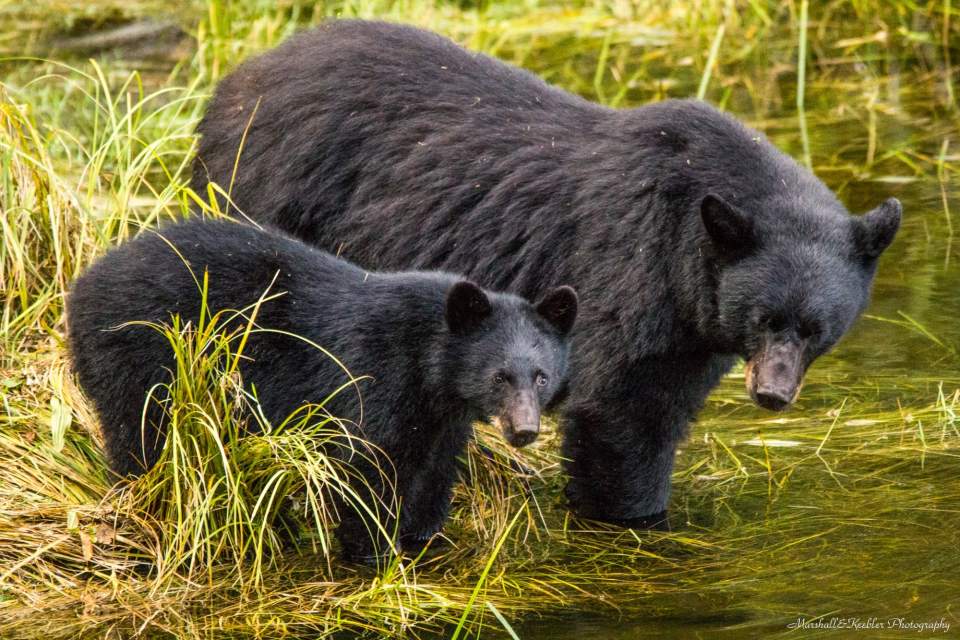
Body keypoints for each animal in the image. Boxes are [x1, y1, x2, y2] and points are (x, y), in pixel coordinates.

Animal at [69, 218, 576, 556]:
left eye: (541, 376)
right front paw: (372, 547)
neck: (431, 369)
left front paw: (421, 534)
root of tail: (83, 284)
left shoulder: (441, 418)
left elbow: (433, 469)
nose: (525, 430)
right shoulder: (374, 378)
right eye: (499, 376)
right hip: (147, 354)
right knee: (140, 432)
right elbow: (364, 466)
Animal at [193, 21, 900, 528]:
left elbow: (665, 401)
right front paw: (634, 517)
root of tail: (234, 81)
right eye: (765, 318)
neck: (687, 247)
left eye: (815, 329)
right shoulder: (631, 272)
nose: (773, 394)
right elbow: (620, 415)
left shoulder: (691, 329)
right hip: (268, 193)